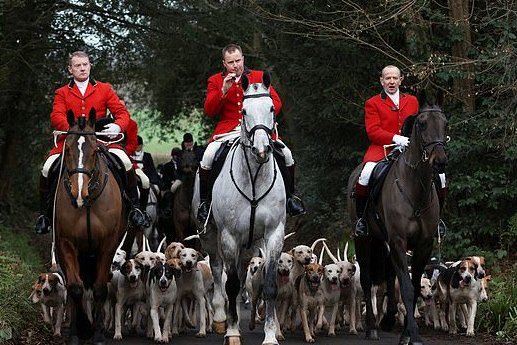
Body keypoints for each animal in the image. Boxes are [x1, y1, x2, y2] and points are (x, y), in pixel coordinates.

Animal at [54, 108, 127, 344]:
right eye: (67, 149)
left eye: (95, 151)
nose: (79, 193)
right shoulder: (66, 243)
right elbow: (76, 288)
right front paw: (81, 331)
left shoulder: (107, 245)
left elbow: (99, 288)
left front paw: (97, 333)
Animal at [192, 71, 284, 342]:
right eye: (243, 110)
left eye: (271, 107)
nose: (262, 150)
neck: (254, 176)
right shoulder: (229, 236)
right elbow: (229, 284)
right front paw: (231, 332)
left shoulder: (274, 233)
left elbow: (269, 285)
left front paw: (270, 335)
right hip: (211, 236)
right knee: (217, 268)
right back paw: (221, 317)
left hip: (250, 243)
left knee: (242, 273)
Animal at [346, 92, 448, 344]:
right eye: (422, 124)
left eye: (445, 124)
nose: (440, 161)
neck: (416, 188)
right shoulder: (400, 241)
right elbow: (408, 289)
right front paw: (414, 336)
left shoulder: (423, 244)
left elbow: (412, 285)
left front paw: (406, 334)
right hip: (364, 239)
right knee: (367, 280)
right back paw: (372, 327)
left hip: (385, 241)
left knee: (390, 275)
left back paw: (389, 318)